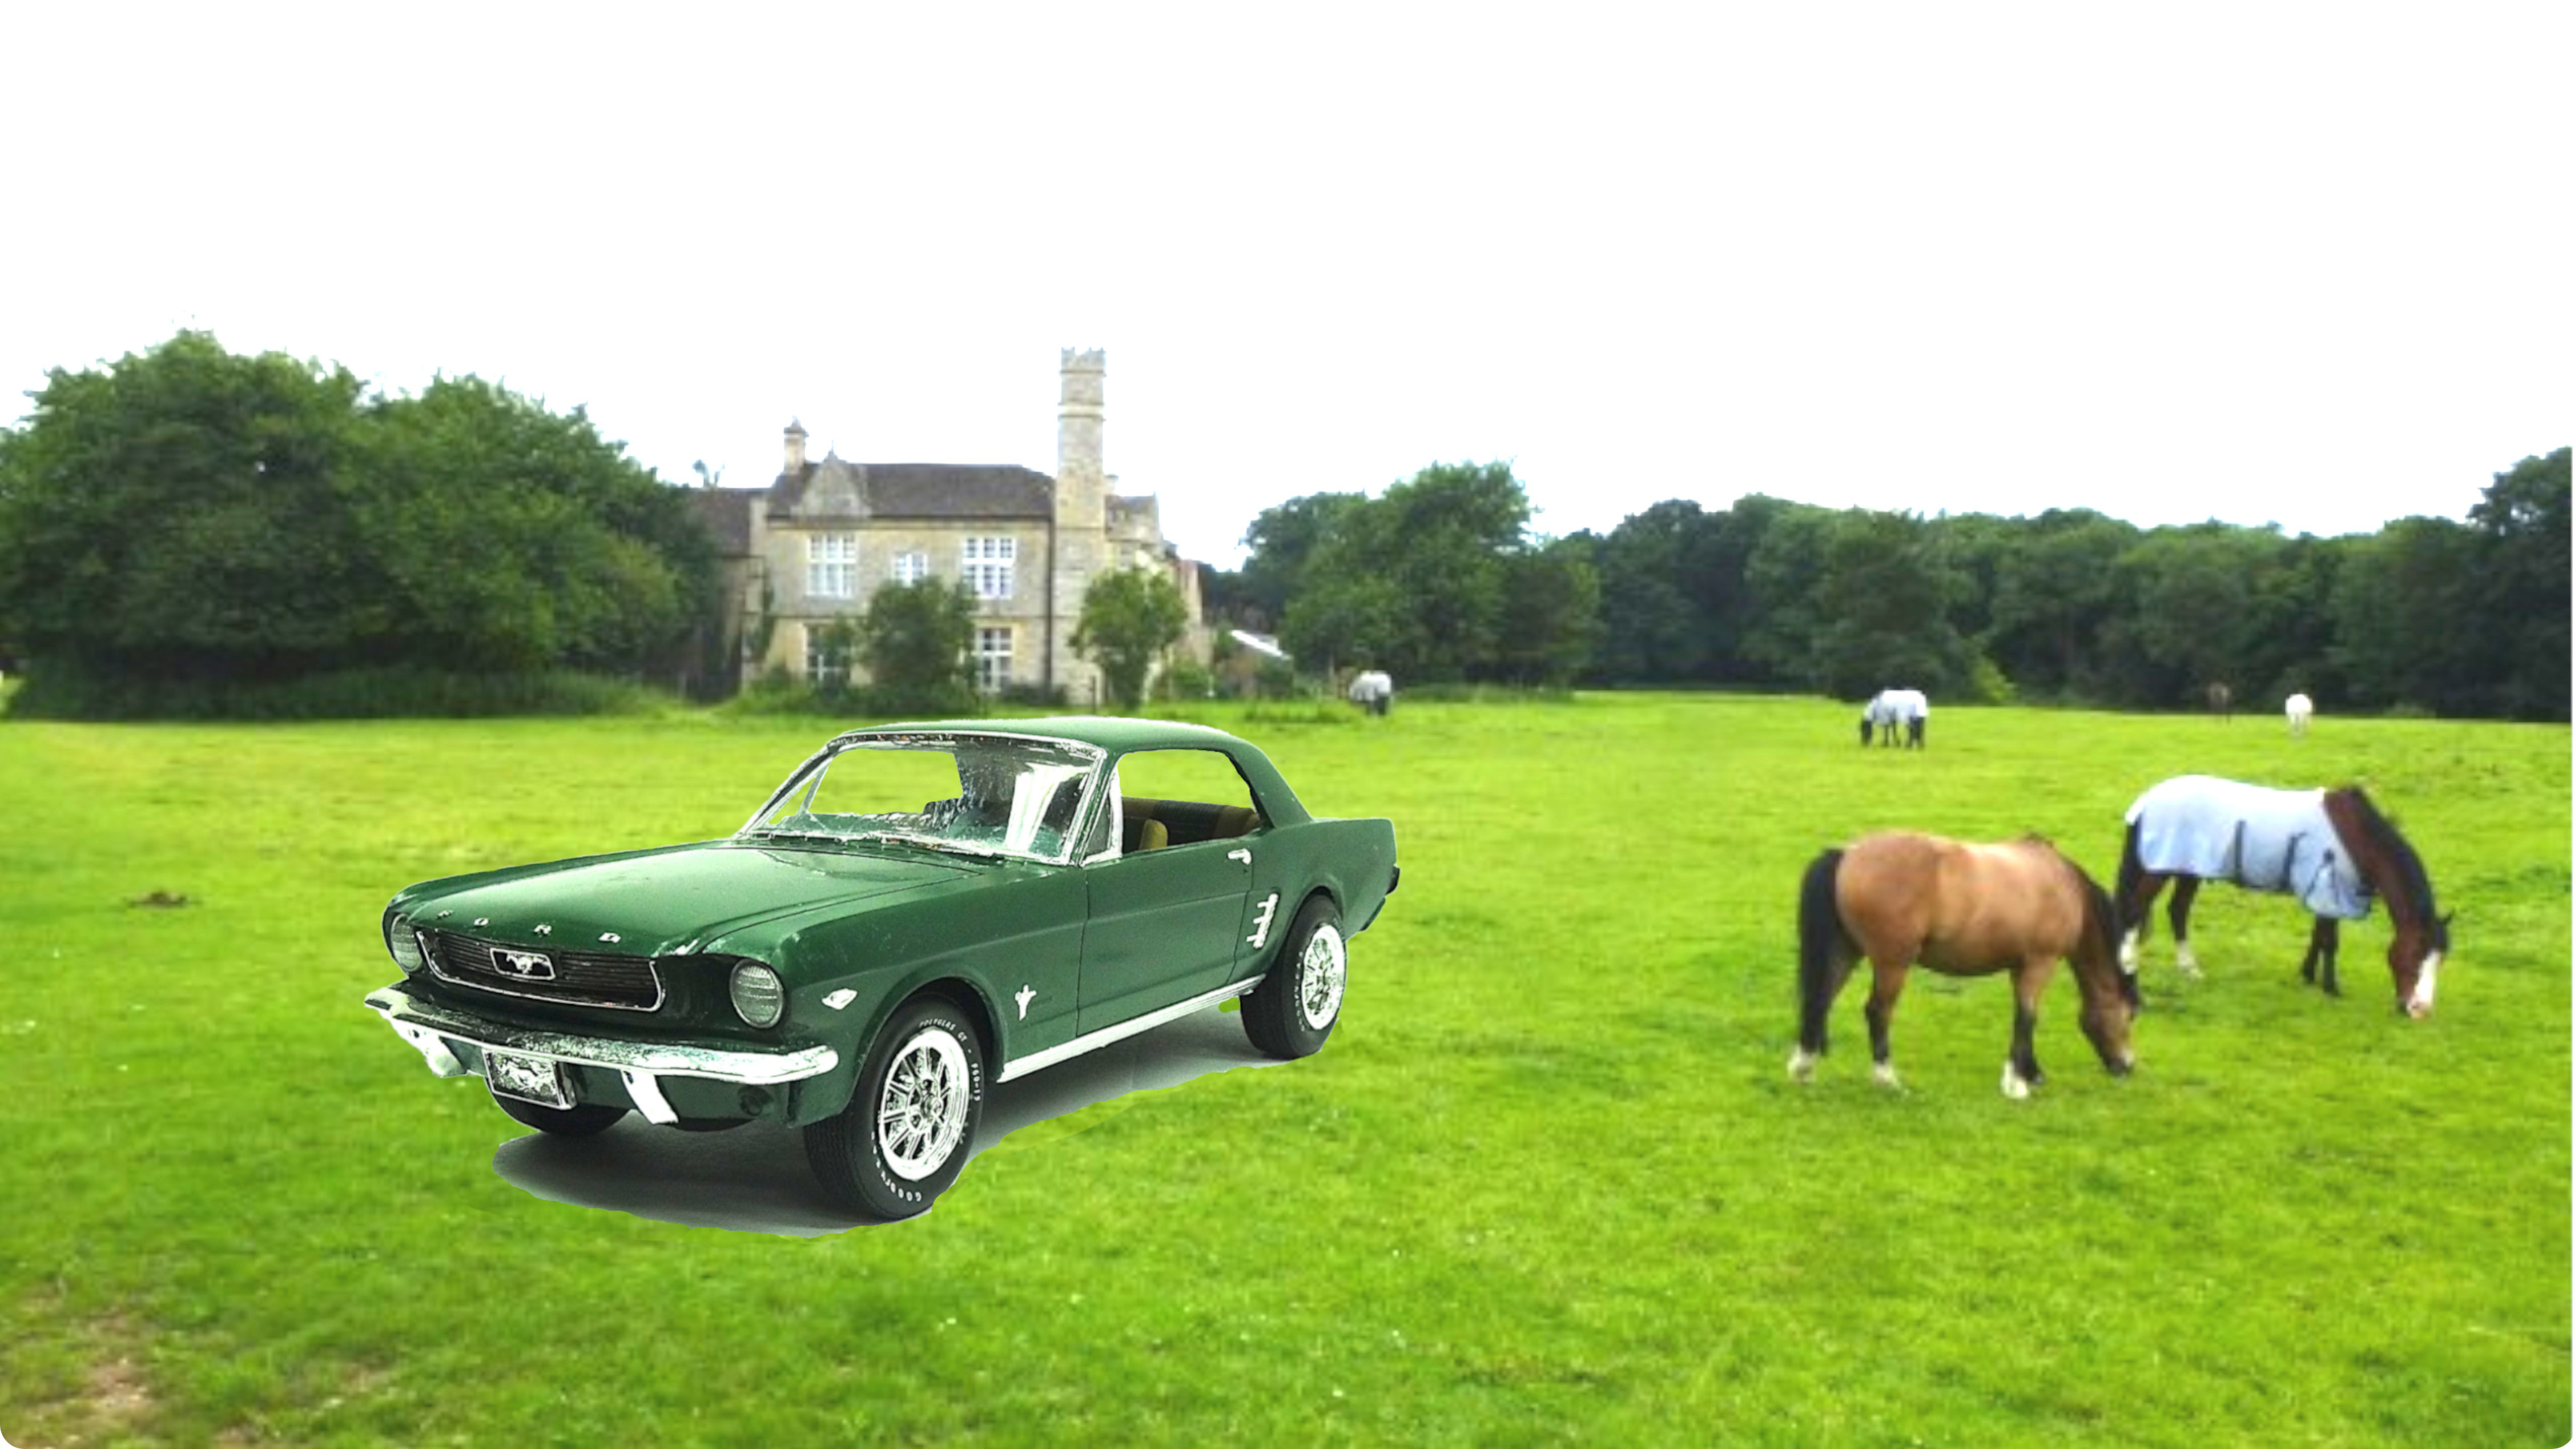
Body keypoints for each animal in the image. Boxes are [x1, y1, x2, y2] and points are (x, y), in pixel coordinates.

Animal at [1793, 830, 2133, 1088]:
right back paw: (1887, 1078)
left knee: (1819, 1002)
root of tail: (1848, 854)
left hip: (1846, 952)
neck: (2063, 885)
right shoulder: (2040, 963)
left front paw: (2031, 1073)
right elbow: (2028, 1017)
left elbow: (2022, 1014)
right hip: (1893, 964)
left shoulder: (2019, 967)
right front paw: (2016, 1083)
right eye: (2130, 1017)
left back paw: (1803, 1069)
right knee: (1877, 1011)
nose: (2127, 1067)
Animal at [2112, 768, 2452, 1016]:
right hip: (2160, 869)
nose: (2420, 1010)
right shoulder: (2330, 891)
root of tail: (2148, 801)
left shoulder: (2323, 893)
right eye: (2418, 953)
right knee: (2134, 910)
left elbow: (2318, 937)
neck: (2357, 838)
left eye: (2441, 959)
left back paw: (2190, 969)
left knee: (2177, 911)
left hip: (2189, 869)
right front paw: (2331, 987)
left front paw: (2308, 975)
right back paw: (2129, 970)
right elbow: (2330, 942)